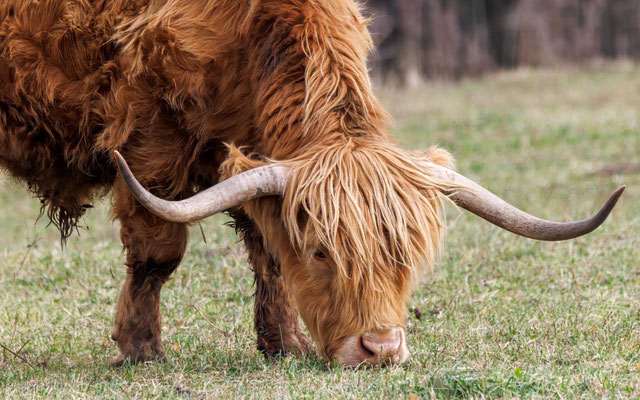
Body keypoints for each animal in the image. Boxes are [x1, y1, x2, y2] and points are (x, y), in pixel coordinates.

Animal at [0, 0, 624, 367]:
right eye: (324, 252)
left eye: (405, 257)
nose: (379, 348)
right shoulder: (149, 139)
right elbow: (157, 253)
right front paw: (141, 351)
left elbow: (270, 255)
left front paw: (285, 346)